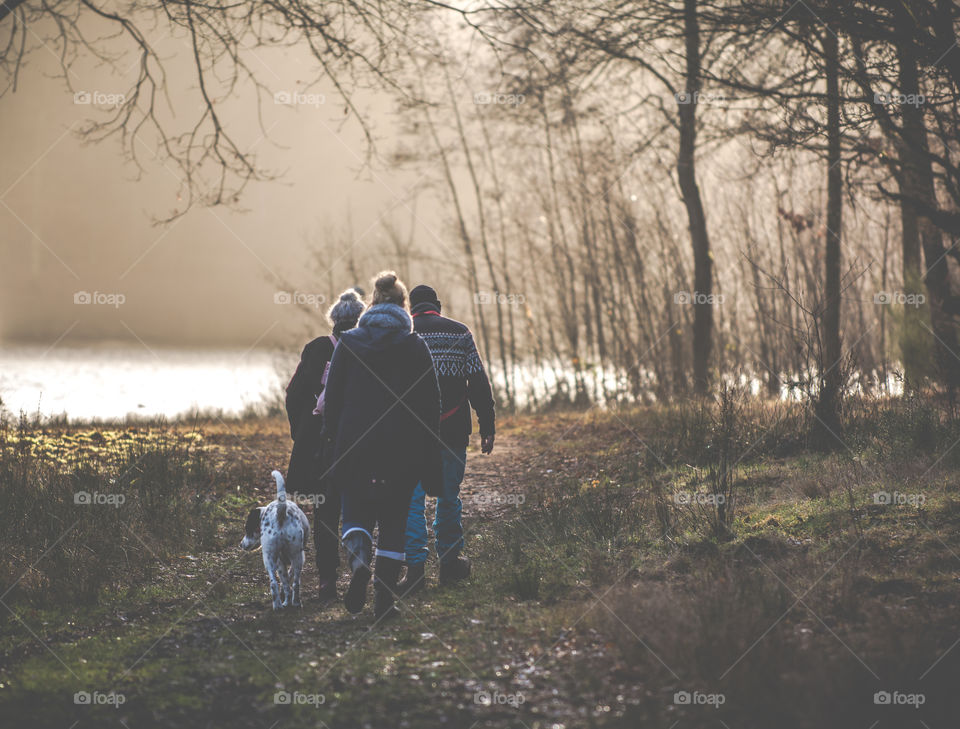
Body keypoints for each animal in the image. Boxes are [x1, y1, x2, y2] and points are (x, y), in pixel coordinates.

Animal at [240, 470, 312, 604]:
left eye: (247, 529)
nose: (240, 545)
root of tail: (281, 513)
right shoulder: (291, 561)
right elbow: (288, 578)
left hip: (274, 559)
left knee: (277, 583)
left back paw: (282, 604)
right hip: (292, 558)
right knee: (291, 584)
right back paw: (291, 603)